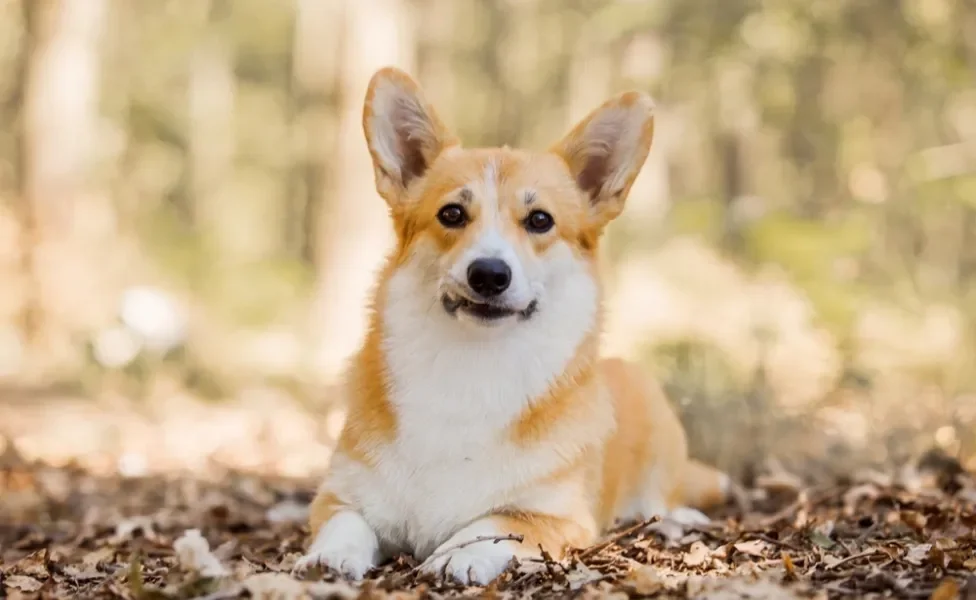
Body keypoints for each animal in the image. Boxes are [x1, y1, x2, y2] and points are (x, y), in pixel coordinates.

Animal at [294, 67, 736, 584]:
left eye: (540, 220)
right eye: (451, 214)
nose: (488, 274)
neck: (474, 366)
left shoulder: (556, 516)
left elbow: (494, 522)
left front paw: (457, 554)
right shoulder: (339, 495)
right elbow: (345, 523)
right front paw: (330, 556)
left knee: (667, 496)